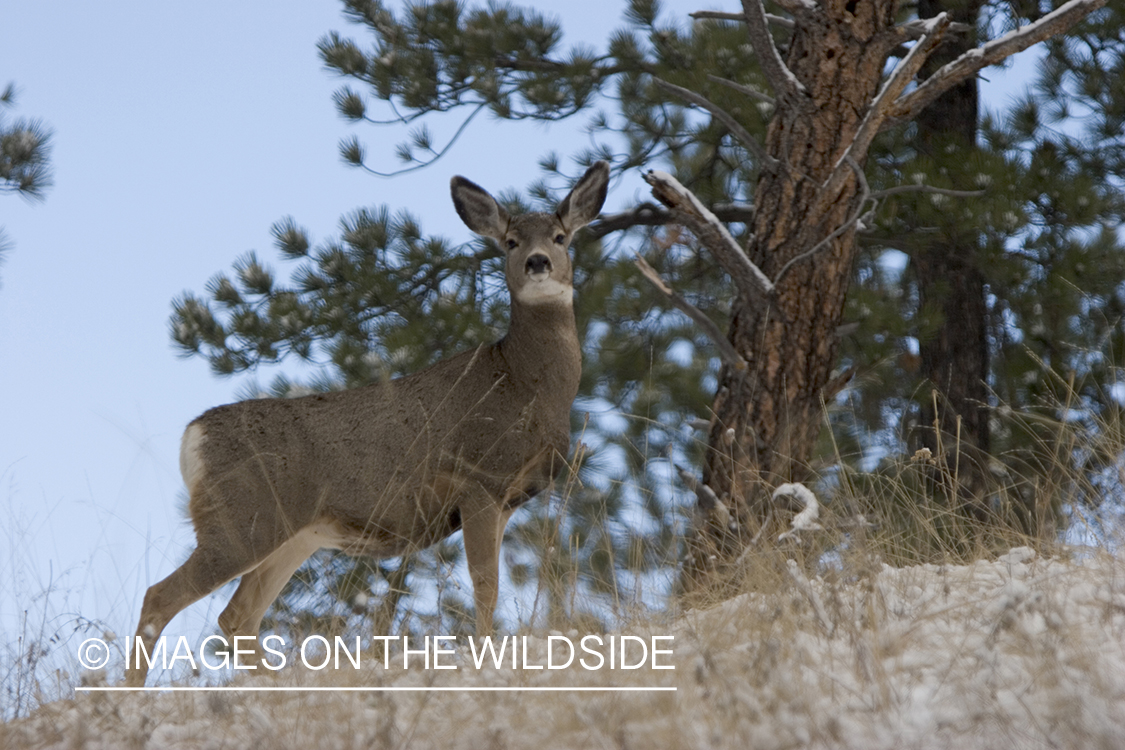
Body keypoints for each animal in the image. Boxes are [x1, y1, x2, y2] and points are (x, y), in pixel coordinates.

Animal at [125, 161, 609, 686]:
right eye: (510, 241)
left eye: (560, 237)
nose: (539, 263)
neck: (525, 383)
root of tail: (193, 436)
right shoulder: (478, 479)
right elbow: (486, 586)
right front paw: (487, 661)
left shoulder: (504, 499)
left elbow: (488, 584)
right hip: (240, 519)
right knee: (160, 598)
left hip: (291, 534)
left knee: (236, 617)